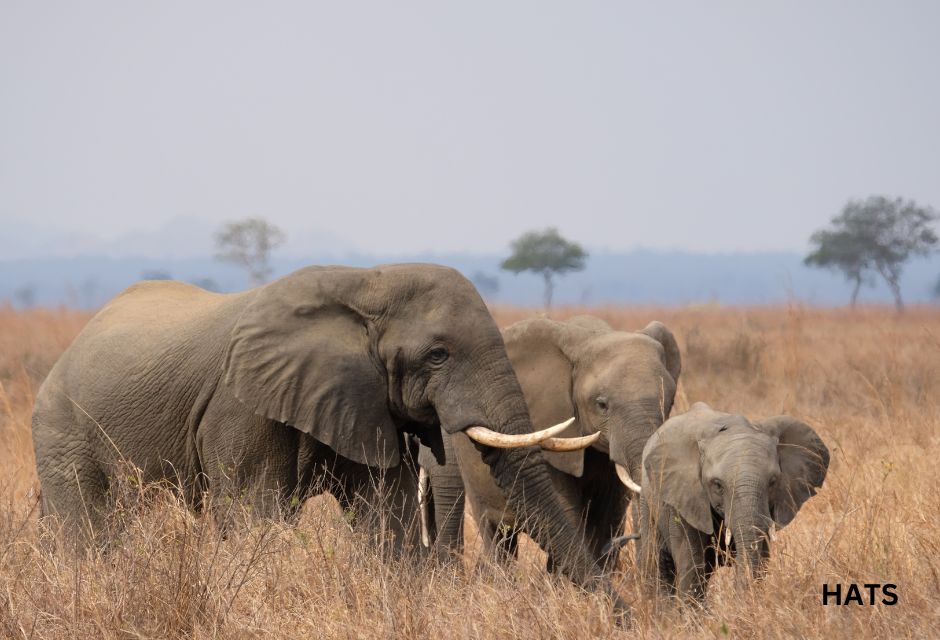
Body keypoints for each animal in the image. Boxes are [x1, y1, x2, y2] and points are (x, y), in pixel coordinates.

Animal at [33, 268, 620, 608]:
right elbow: (253, 511)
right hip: (61, 431)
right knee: (90, 526)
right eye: (438, 355)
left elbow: (385, 512)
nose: (617, 612)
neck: (364, 285)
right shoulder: (241, 405)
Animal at [632, 402, 828, 604]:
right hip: (647, 503)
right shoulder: (682, 496)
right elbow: (690, 561)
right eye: (717, 485)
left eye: (773, 482)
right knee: (658, 563)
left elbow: (762, 557)